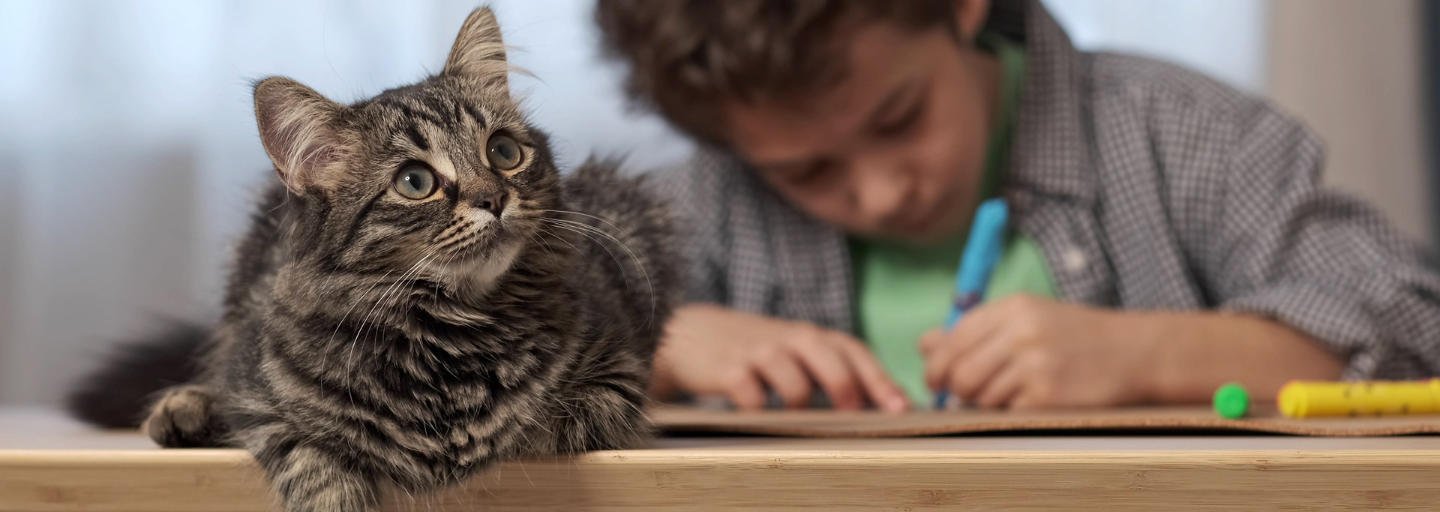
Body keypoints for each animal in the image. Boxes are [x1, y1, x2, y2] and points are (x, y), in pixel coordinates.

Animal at [66, 8, 673, 512]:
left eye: (503, 152)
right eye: (415, 182)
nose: (494, 198)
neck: (447, 336)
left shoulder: (615, 378)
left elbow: (539, 426)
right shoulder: (263, 401)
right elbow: (309, 456)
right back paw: (185, 410)